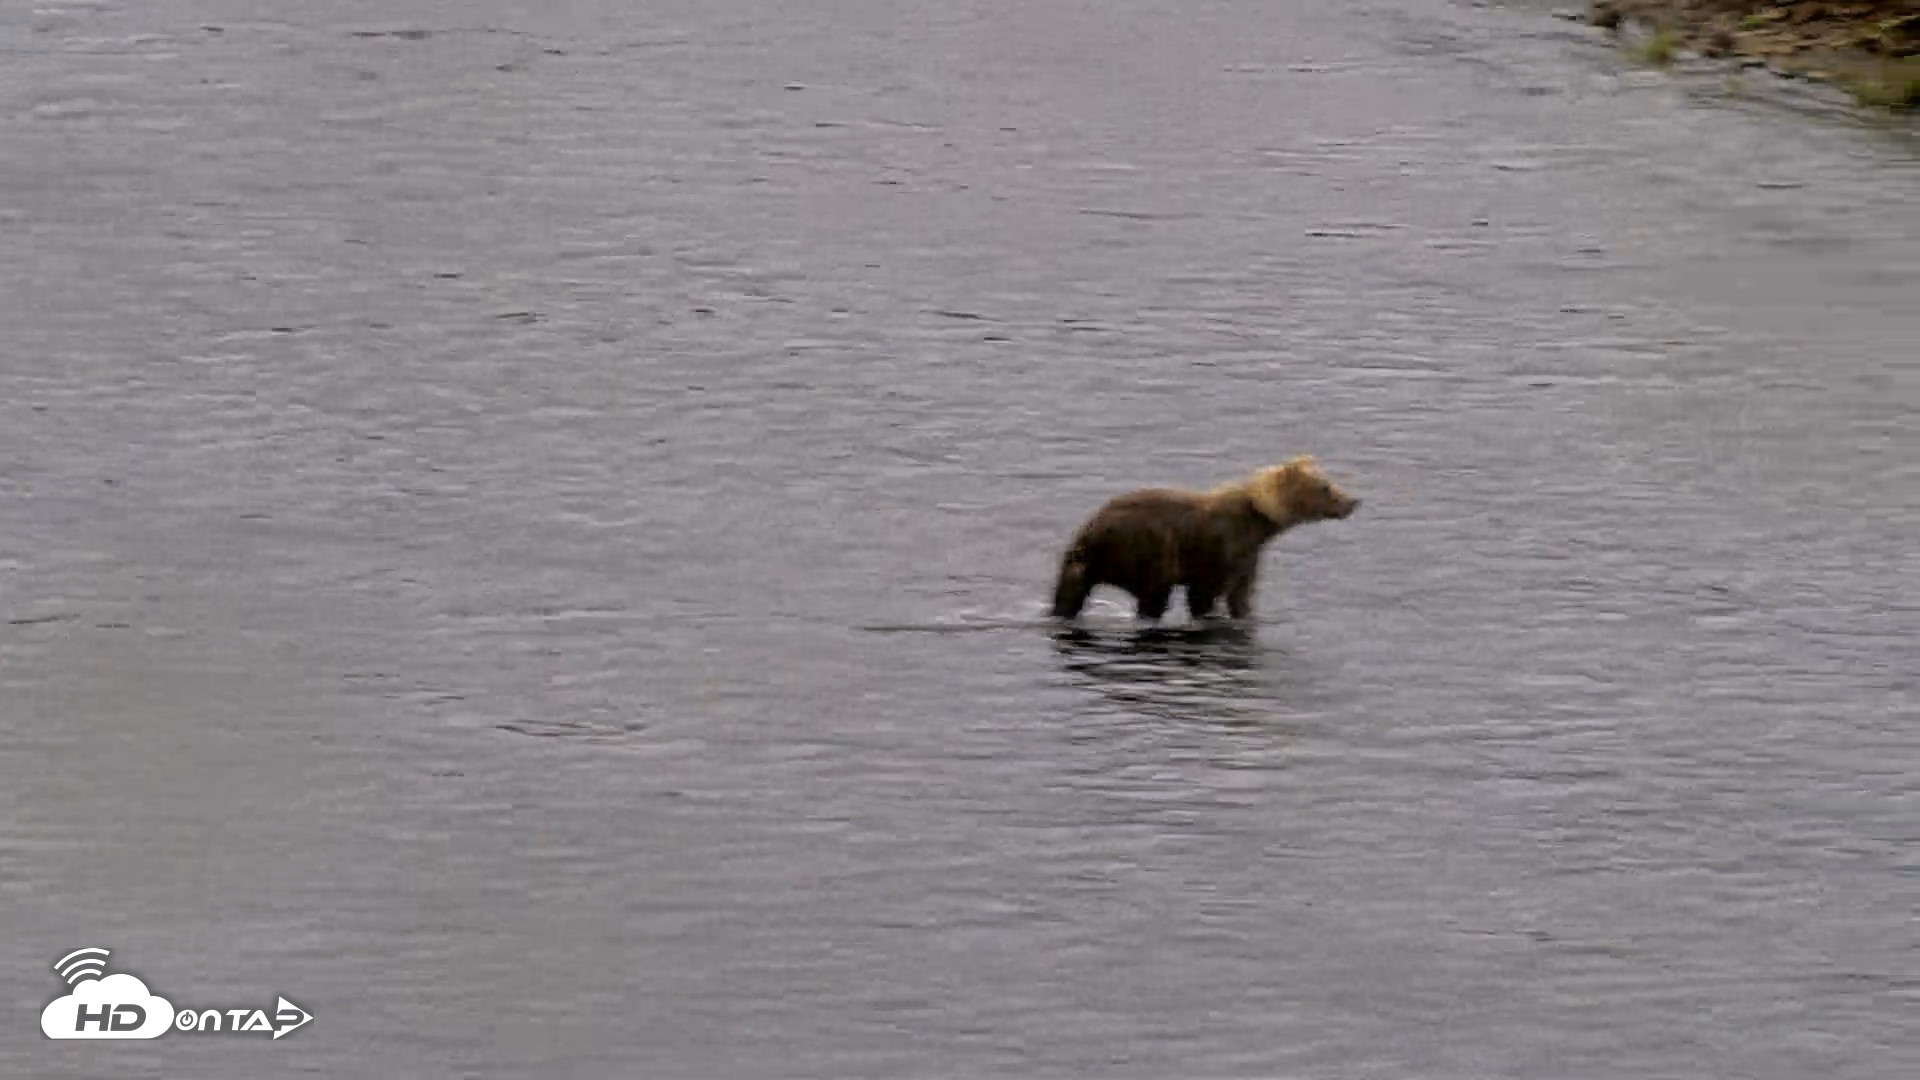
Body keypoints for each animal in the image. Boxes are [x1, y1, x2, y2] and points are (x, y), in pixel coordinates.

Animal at [1049, 456, 1359, 622]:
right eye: (1325, 486)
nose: (1353, 501)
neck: (1259, 523)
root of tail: (1089, 531)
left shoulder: (1248, 556)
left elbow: (1242, 595)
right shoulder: (1218, 548)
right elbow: (1204, 594)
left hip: (1079, 564)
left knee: (1067, 595)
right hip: (1145, 550)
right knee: (1154, 594)